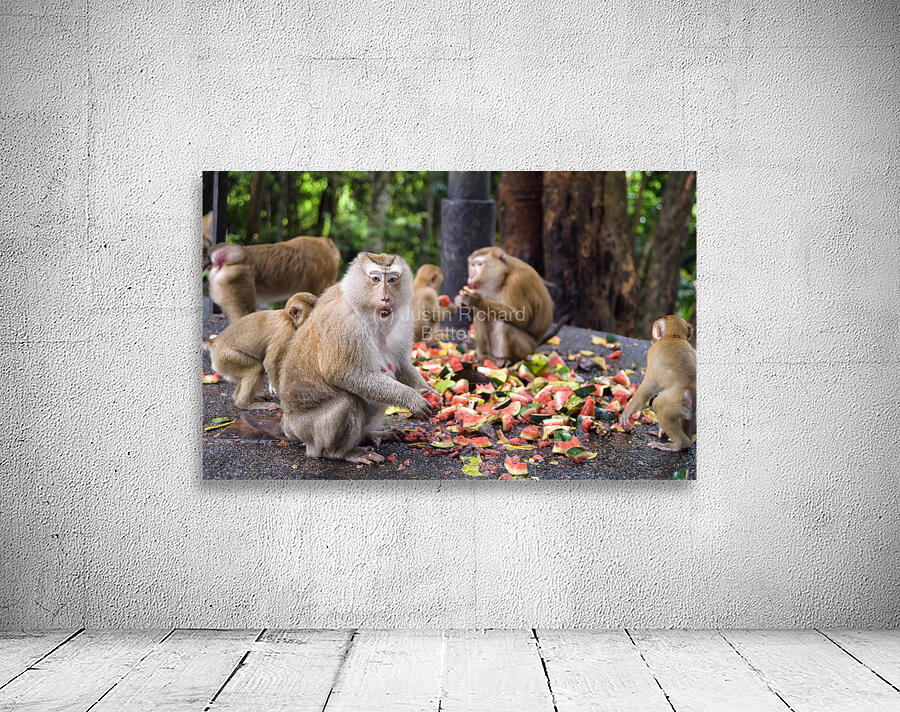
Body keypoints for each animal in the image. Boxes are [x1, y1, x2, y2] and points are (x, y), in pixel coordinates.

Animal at [273, 252, 435, 465]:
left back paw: (370, 435)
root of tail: (289, 425)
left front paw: (427, 391)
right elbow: (347, 375)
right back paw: (341, 452)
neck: (363, 309)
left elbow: (401, 365)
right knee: (347, 401)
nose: (385, 297)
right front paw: (411, 398)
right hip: (308, 431)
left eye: (392, 279)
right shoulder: (344, 325)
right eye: (375, 279)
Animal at [619, 315, 696, 452]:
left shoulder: (652, 353)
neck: (674, 336)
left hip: (673, 403)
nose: (651, 340)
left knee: (658, 404)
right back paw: (686, 440)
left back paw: (679, 444)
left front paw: (626, 414)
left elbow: (649, 386)